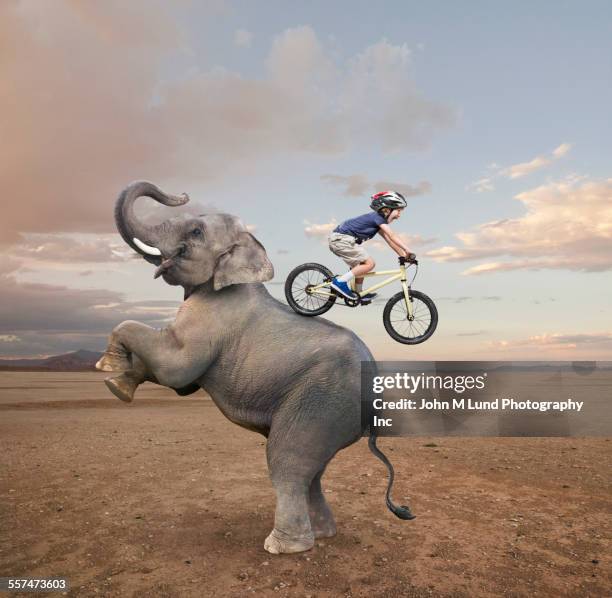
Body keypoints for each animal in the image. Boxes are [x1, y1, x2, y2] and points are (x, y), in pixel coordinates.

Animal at [95, 180, 414, 556]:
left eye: (195, 231)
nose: (181, 194)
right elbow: (179, 381)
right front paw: (118, 385)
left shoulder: (213, 318)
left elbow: (176, 369)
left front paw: (106, 367)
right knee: (313, 471)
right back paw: (322, 535)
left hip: (322, 401)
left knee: (287, 462)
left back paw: (282, 547)